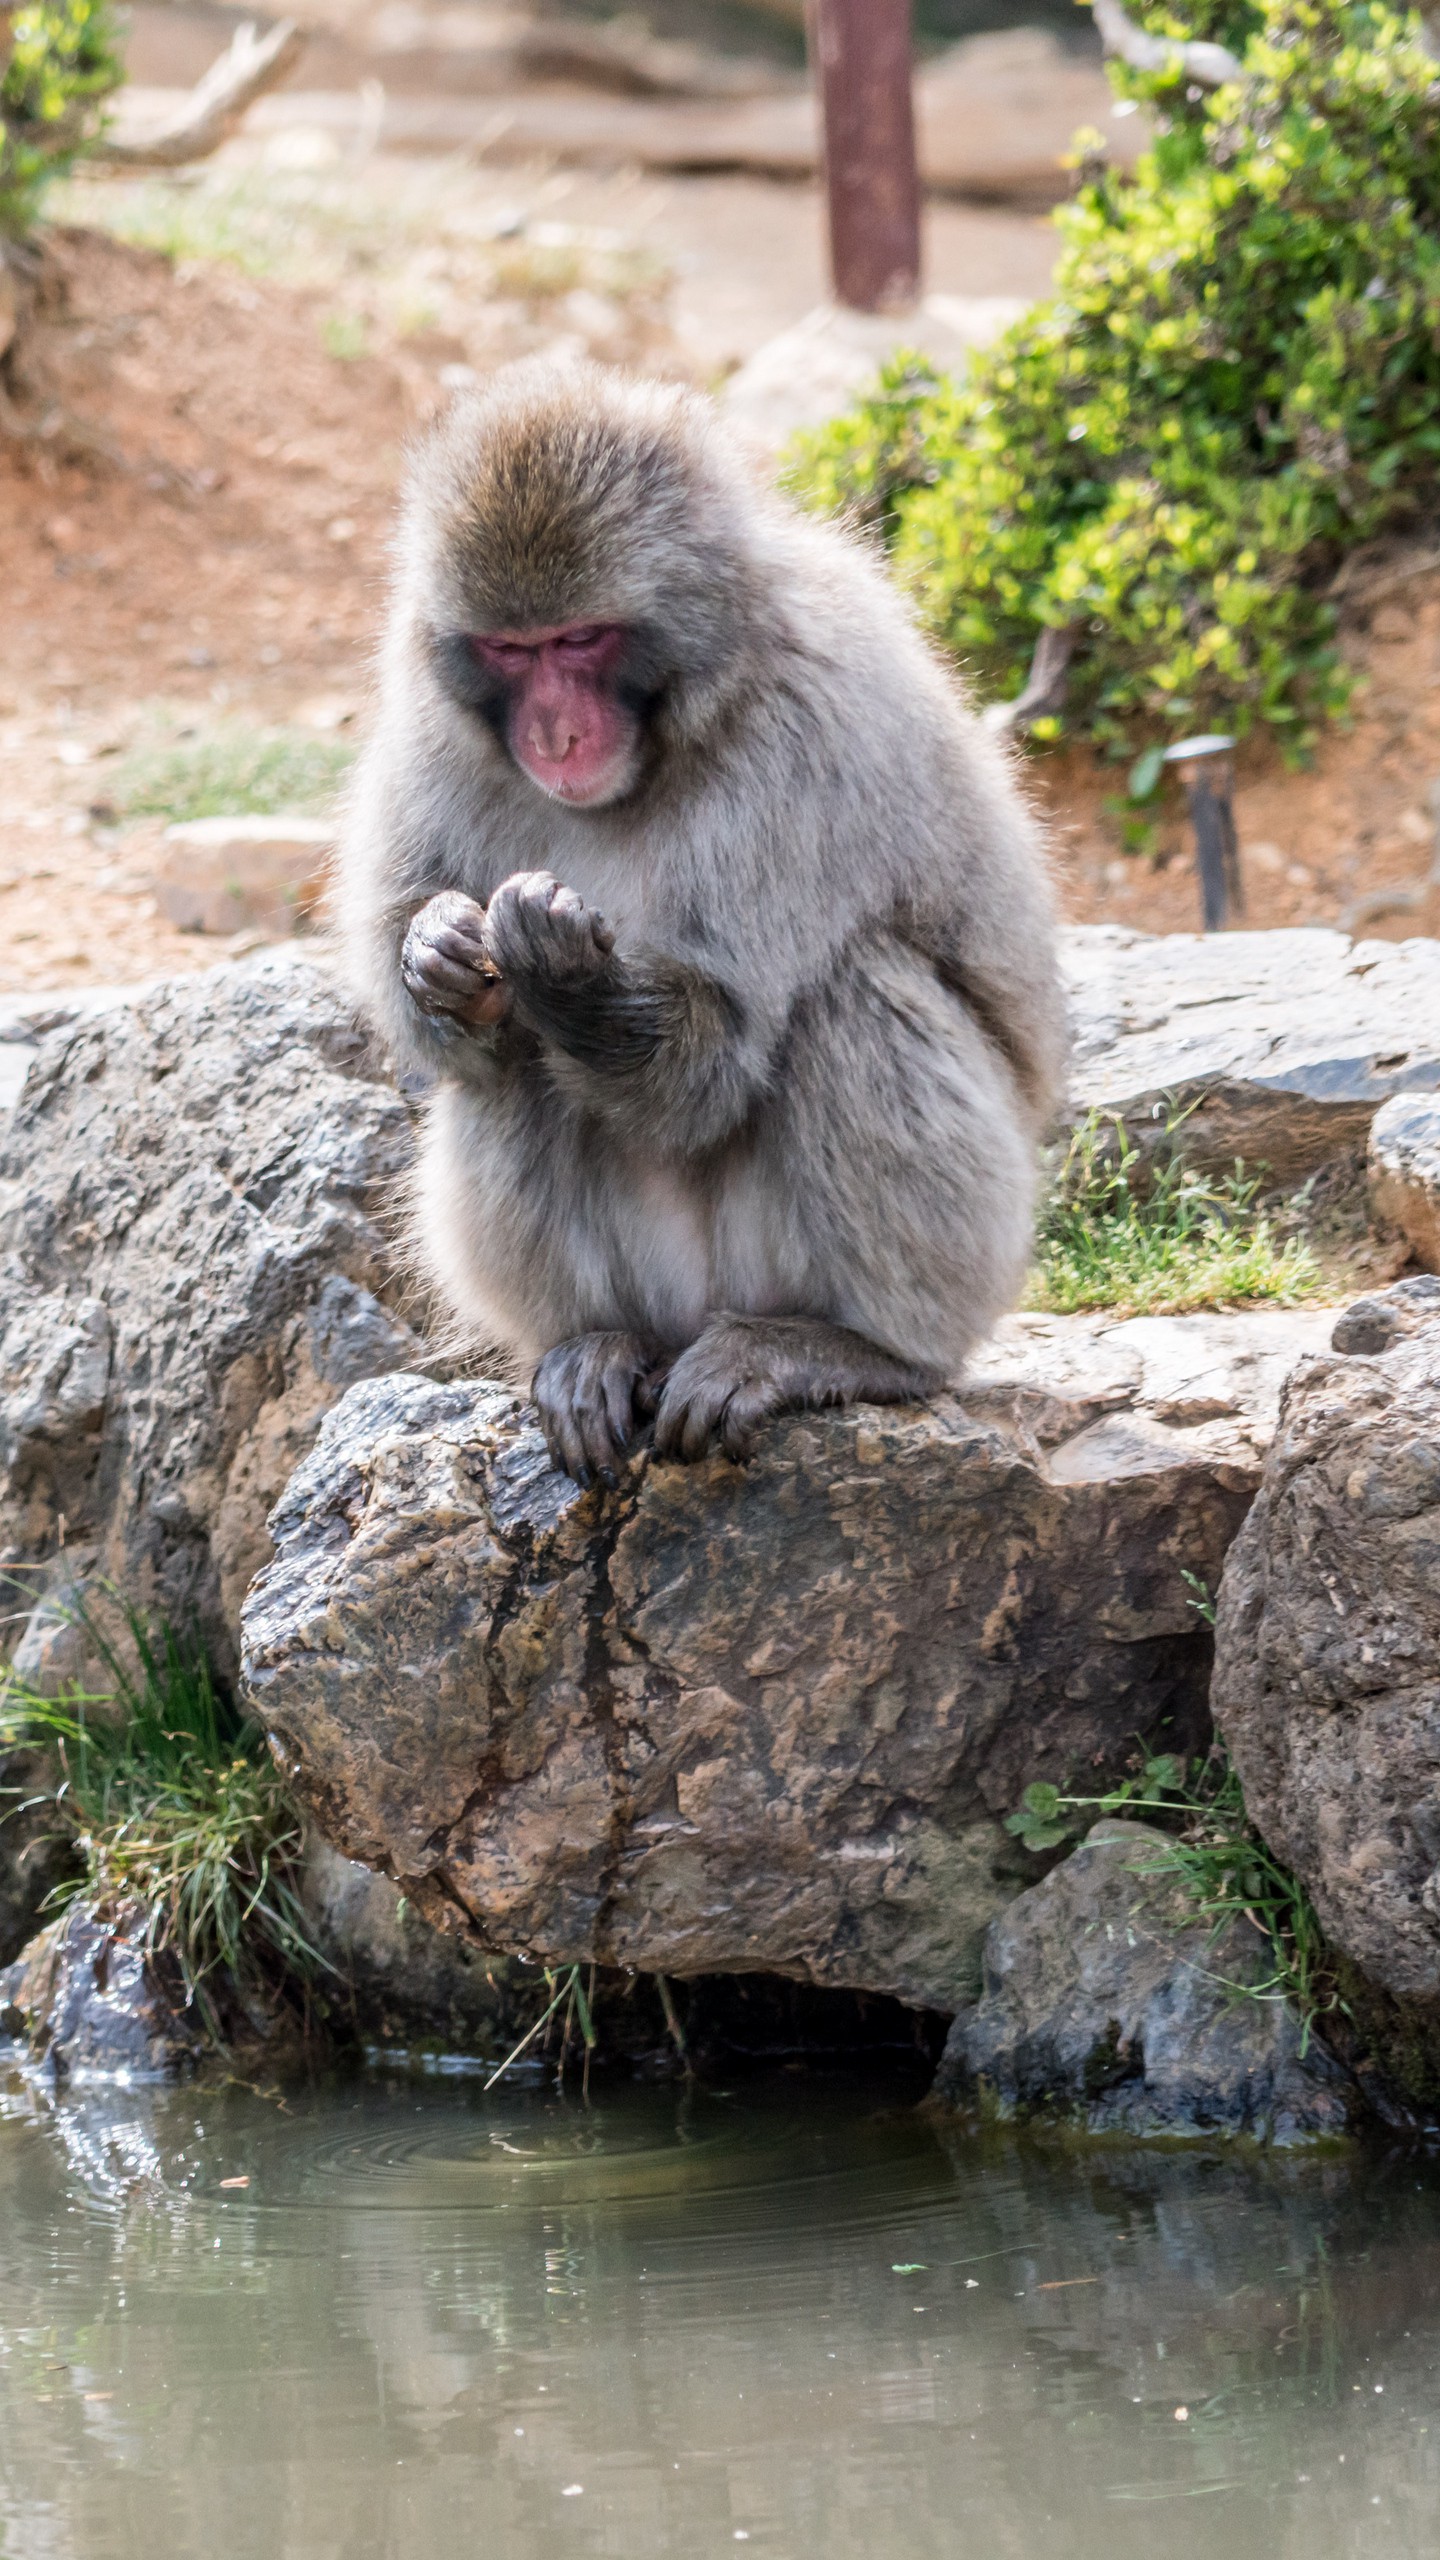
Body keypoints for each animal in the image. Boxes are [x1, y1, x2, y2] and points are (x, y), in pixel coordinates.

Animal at [333, 355, 1055, 1484]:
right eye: (511, 651)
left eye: (581, 640)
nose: (555, 732)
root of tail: (694, 1319)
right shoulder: (433, 720)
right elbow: (439, 995)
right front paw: (437, 949)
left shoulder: (810, 727)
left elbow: (714, 1060)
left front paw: (567, 974)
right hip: (663, 1289)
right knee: (505, 1070)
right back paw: (594, 1345)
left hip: (895, 1262)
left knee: (856, 988)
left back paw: (858, 1350)